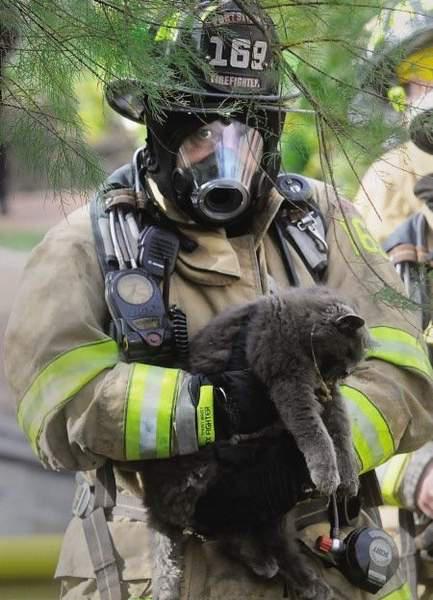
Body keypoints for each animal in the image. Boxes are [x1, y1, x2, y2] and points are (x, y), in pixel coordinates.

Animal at [143, 288, 368, 600]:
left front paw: (348, 477)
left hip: (267, 505)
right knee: (228, 534)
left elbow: (342, 432)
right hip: (207, 483)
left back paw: (305, 581)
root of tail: (152, 504)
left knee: (270, 540)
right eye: (349, 352)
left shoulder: (328, 395)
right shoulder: (288, 380)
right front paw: (327, 474)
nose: (347, 373)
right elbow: (314, 431)